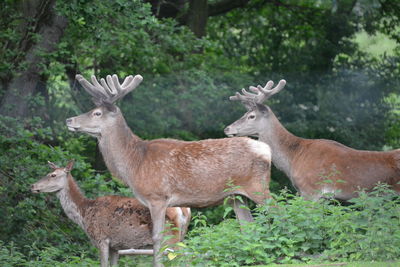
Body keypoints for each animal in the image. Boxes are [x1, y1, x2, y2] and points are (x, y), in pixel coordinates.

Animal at [31, 161, 191, 267]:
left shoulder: (101, 239)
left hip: (170, 239)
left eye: (53, 175)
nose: (32, 186)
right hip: (179, 237)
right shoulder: (116, 246)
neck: (84, 214)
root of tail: (184, 211)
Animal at [65, 73, 272, 267]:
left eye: (97, 113)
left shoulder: (157, 197)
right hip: (237, 196)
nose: (69, 120)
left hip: (258, 187)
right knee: (248, 226)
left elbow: (158, 239)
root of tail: (267, 150)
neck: (134, 163)